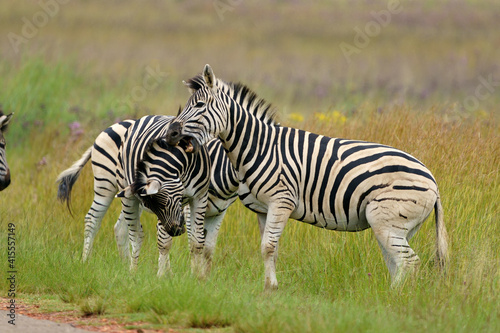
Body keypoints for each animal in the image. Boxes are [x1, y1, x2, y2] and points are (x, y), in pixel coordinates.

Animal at [57, 114, 239, 274]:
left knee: (120, 228)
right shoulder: (185, 209)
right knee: (92, 219)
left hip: (127, 195)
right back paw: (85, 262)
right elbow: (180, 240)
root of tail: (112, 125)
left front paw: (203, 277)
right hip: (105, 184)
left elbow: (207, 246)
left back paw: (125, 265)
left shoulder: (218, 210)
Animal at [167, 64, 450, 288]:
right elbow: (270, 250)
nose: (171, 133)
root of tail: (433, 180)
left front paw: (271, 289)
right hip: (398, 227)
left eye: (199, 105)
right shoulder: (264, 209)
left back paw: (395, 299)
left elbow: (267, 247)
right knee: (398, 264)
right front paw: (269, 288)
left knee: (410, 262)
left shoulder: (282, 201)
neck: (260, 146)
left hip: (385, 220)